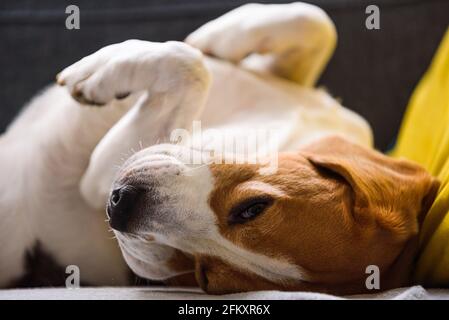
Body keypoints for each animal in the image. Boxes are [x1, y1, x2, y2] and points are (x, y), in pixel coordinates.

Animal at [0, 1, 436, 296]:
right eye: (254, 207)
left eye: (204, 275)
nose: (119, 205)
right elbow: (315, 21)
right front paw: (217, 39)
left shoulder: (98, 177)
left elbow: (191, 64)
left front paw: (97, 75)